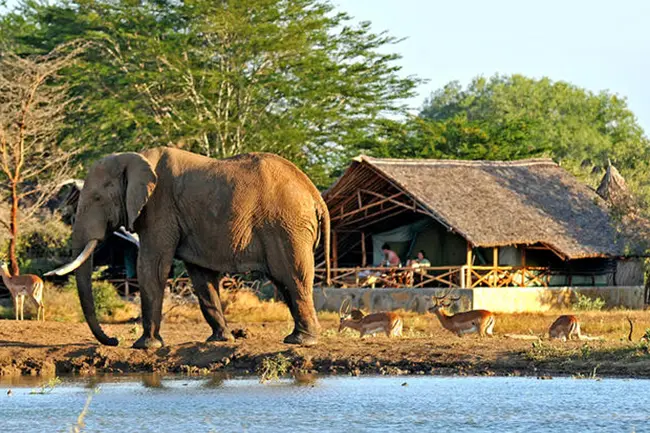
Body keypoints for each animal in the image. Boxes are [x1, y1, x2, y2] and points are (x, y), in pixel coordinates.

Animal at [46, 147, 330, 350]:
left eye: (97, 198)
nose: (114, 340)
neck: (134, 158)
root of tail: (315, 195)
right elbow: (201, 276)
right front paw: (220, 340)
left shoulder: (159, 208)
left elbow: (152, 267)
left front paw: (144, 346)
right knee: (285, 282)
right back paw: (296, 338)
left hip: (287, 226)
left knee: (292, 277)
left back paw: (302, 341)